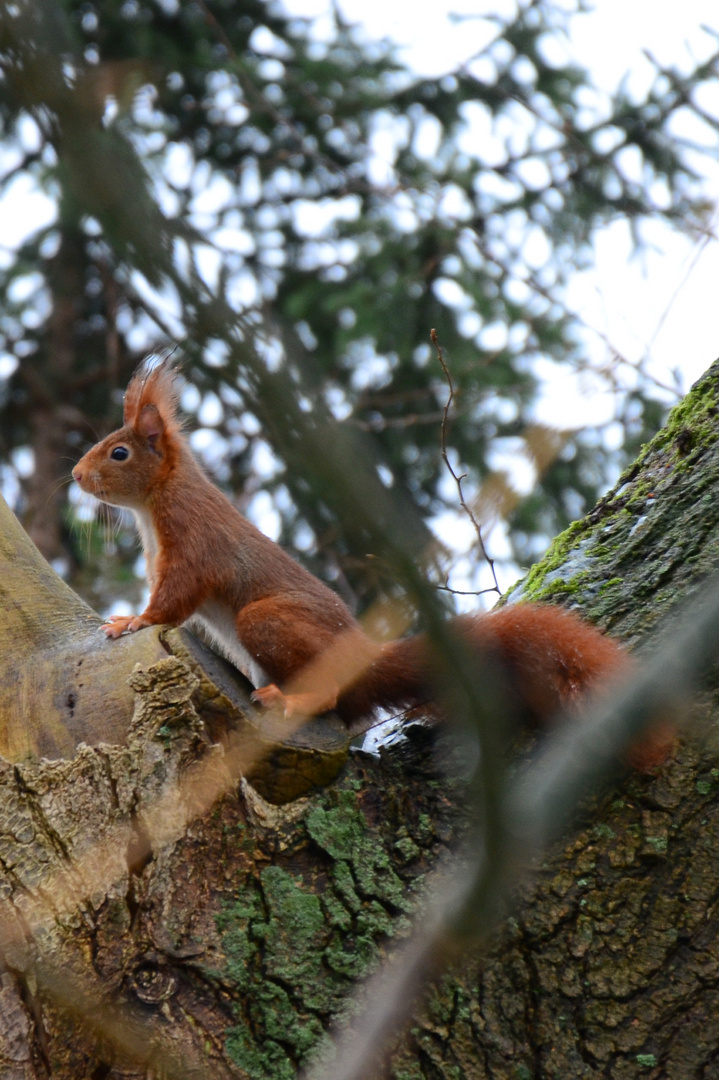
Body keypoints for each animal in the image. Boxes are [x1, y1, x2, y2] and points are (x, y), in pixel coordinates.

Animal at [70, 356, 669, 768]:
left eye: (119, 453)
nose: (75, 476)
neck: (157, 504)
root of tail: (365, 658)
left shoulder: (194, 541)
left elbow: (175, 600)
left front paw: (132, 620)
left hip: (268, 621)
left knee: (331, 697)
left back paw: (294, 697)